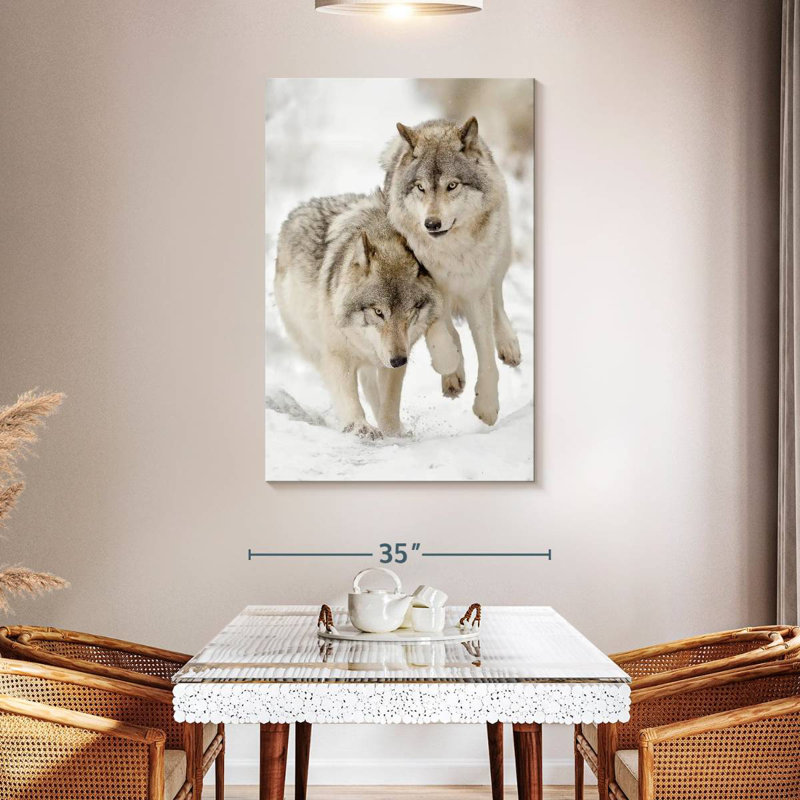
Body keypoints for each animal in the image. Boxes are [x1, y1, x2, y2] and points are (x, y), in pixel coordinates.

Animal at [275, 190, 459, 440]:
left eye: (410, 312)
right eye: (378, 312)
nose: (398, 360)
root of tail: (298, 209)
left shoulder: (396, 355)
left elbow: (389, 405)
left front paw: (392, 431)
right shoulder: (338, 356)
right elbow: (350, 399)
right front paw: (360, 427)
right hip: (313, 346)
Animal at [382, 117, 520, 427]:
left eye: (452, 185)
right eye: (421, 187)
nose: (431, 223)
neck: (450, 254)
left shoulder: (475, 290)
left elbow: (486, 353)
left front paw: (487, 406)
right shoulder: (429, 287)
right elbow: (441, 337)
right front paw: (450, 366)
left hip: (500, 257)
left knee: (498, 301)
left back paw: (509, 345)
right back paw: (454, 375)